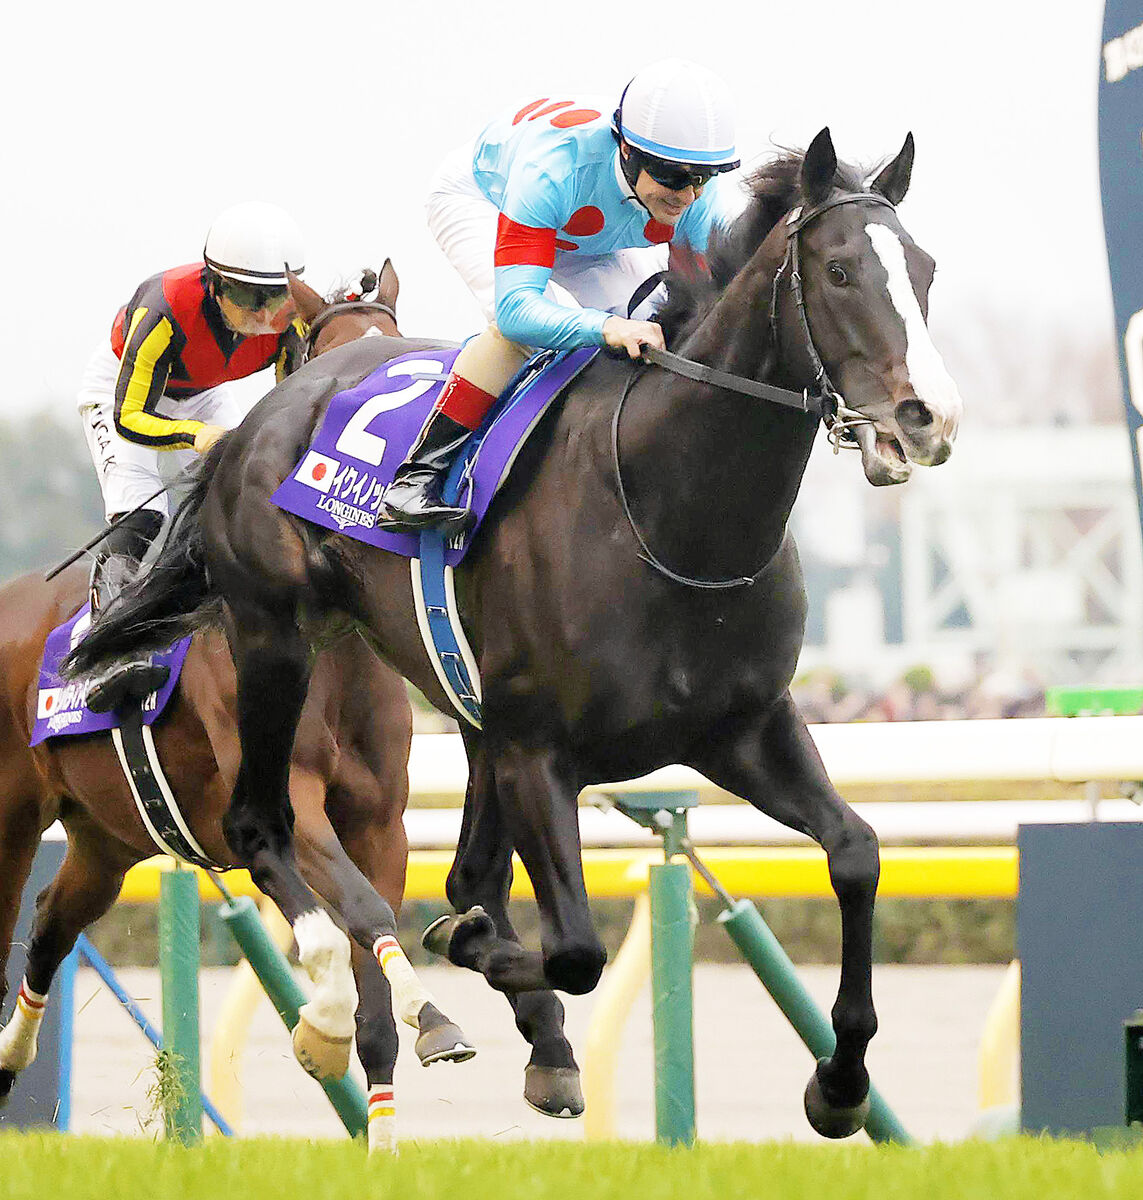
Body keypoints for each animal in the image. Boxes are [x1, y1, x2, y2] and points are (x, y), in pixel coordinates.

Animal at [66, 128, 963, 1138]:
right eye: (840, 271)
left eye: (924, 270)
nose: (926, 418)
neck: (669, 509)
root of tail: (257, 423)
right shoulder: (538, 749)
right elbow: (567, 946)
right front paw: (464, 957)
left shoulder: (741, 729)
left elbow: (855, 853)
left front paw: (839, 1085)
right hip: (274, 641)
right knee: (264, 824)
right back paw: (338, 1013)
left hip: (460, 711)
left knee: (463, 870)